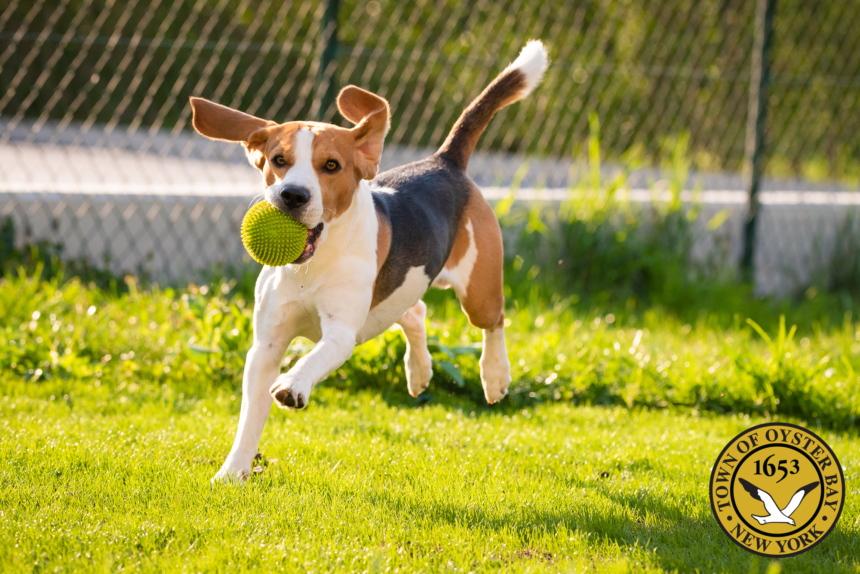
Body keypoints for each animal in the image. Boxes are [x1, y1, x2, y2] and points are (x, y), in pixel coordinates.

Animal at [191, 40, 548, 484]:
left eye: (331, 166)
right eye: (278, 160)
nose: (293, 195)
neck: (312, 265)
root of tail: (443, 161)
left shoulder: (340, 332)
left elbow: (311, 359)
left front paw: (293, 384)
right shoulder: (266, 345)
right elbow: (249, 419)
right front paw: (232, 472)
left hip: (477, 292)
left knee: (493, 321)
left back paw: (495, 376)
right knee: (415, 311)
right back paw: (419, 371)